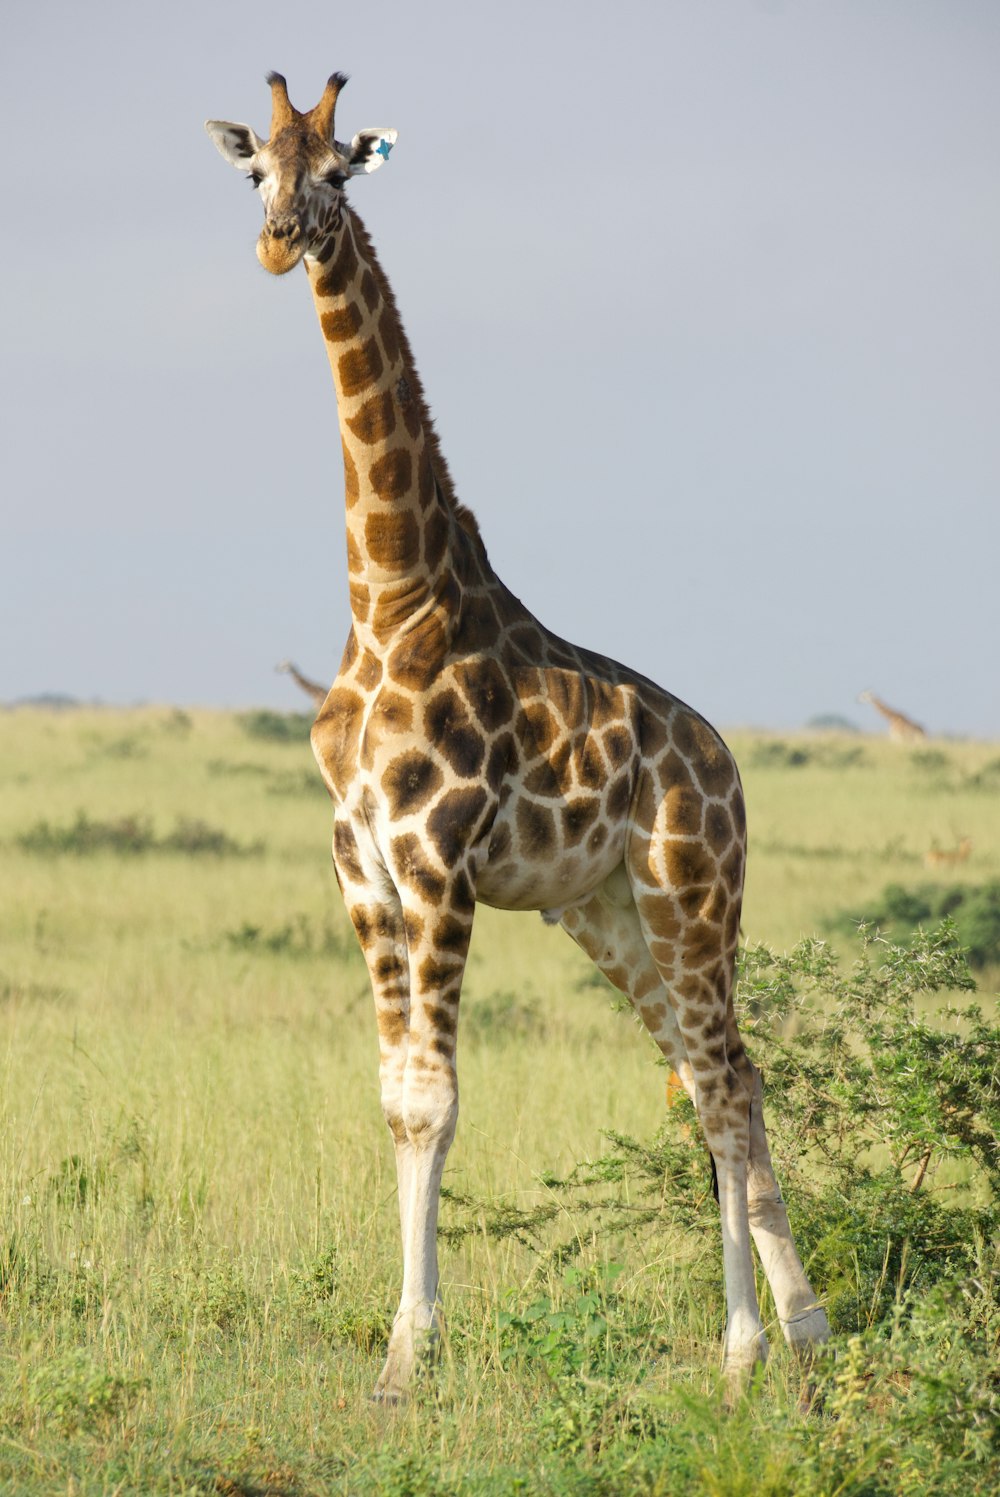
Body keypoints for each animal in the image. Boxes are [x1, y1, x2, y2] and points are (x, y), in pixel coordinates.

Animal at [203, 70, 826, 1401]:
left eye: (338, 172)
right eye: (257, 171)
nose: (279, 243)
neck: (389, 598)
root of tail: (725, 765)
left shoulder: (438, 860)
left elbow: (435, 1102)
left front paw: (408, 1358)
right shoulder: (362, 869)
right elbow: (394, 1096)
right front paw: (404, 1348)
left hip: (693, 893)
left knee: (718, 1083)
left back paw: (758, 1346)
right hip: (608, 912)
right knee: (721, 1072)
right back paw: (785, 1335)